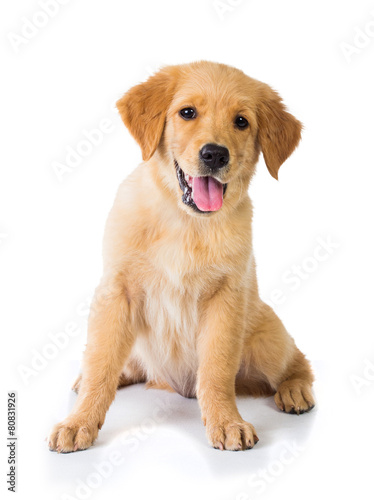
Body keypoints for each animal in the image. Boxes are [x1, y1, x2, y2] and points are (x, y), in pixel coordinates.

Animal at [48, 60, 314, 452]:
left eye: (241, 121)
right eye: (187, 112)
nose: (215, 154)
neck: (185, 222)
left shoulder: (226, 298)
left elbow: (217, 370)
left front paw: (226, 421)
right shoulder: (116, 292)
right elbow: (101, 363)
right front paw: (79, 420)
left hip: (269, 343)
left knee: (297, 360)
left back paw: (295, 390)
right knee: (123, 363)